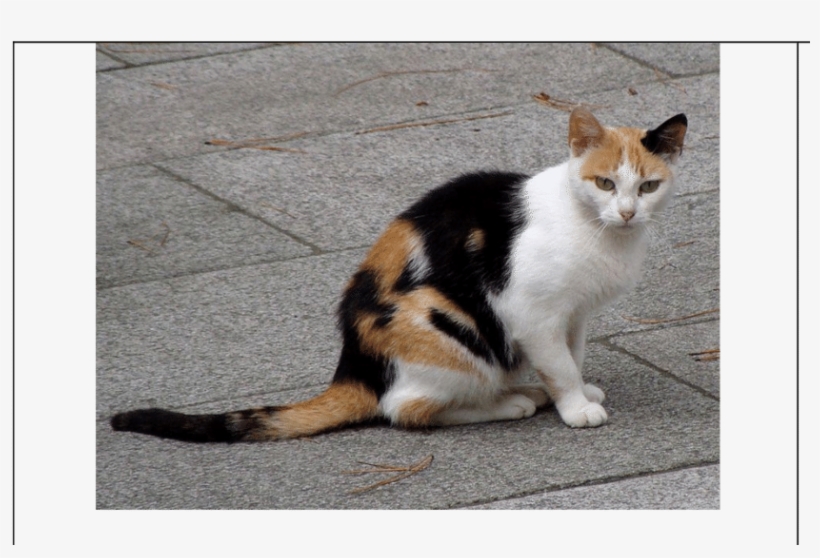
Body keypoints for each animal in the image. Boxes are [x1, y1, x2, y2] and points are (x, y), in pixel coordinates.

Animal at [109, 107, 684, 444]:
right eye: (605, 183)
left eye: (648, 186)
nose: (628, 212)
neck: (598, 231)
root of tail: (353, 368)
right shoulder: (532, 313)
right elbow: (559, 364)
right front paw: (575, 407)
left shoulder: (575, 312)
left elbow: (573, 355)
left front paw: (580, 392)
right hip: (442, 323)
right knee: (407, 410)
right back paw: (511, 401)